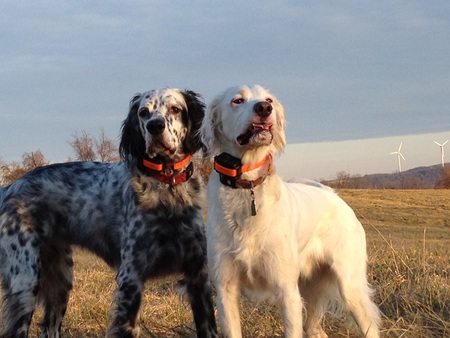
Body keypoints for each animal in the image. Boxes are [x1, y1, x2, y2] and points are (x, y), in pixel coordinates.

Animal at [0, 88, 218, 336]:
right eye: (143, 113)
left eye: (175, 109)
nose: (154, 126)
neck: (167, 186)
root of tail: (11, 187)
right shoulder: (131, 277)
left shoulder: (198, 276)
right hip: (25, 280)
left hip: (60, 282)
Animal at [200, 85, 380, 338]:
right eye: (237, 101)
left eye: (268, 99)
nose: (264, 108)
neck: (248, 187)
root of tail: (335, 196)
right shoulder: (225, 289)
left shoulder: (287, 291)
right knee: (315, 329)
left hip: (350, 287)